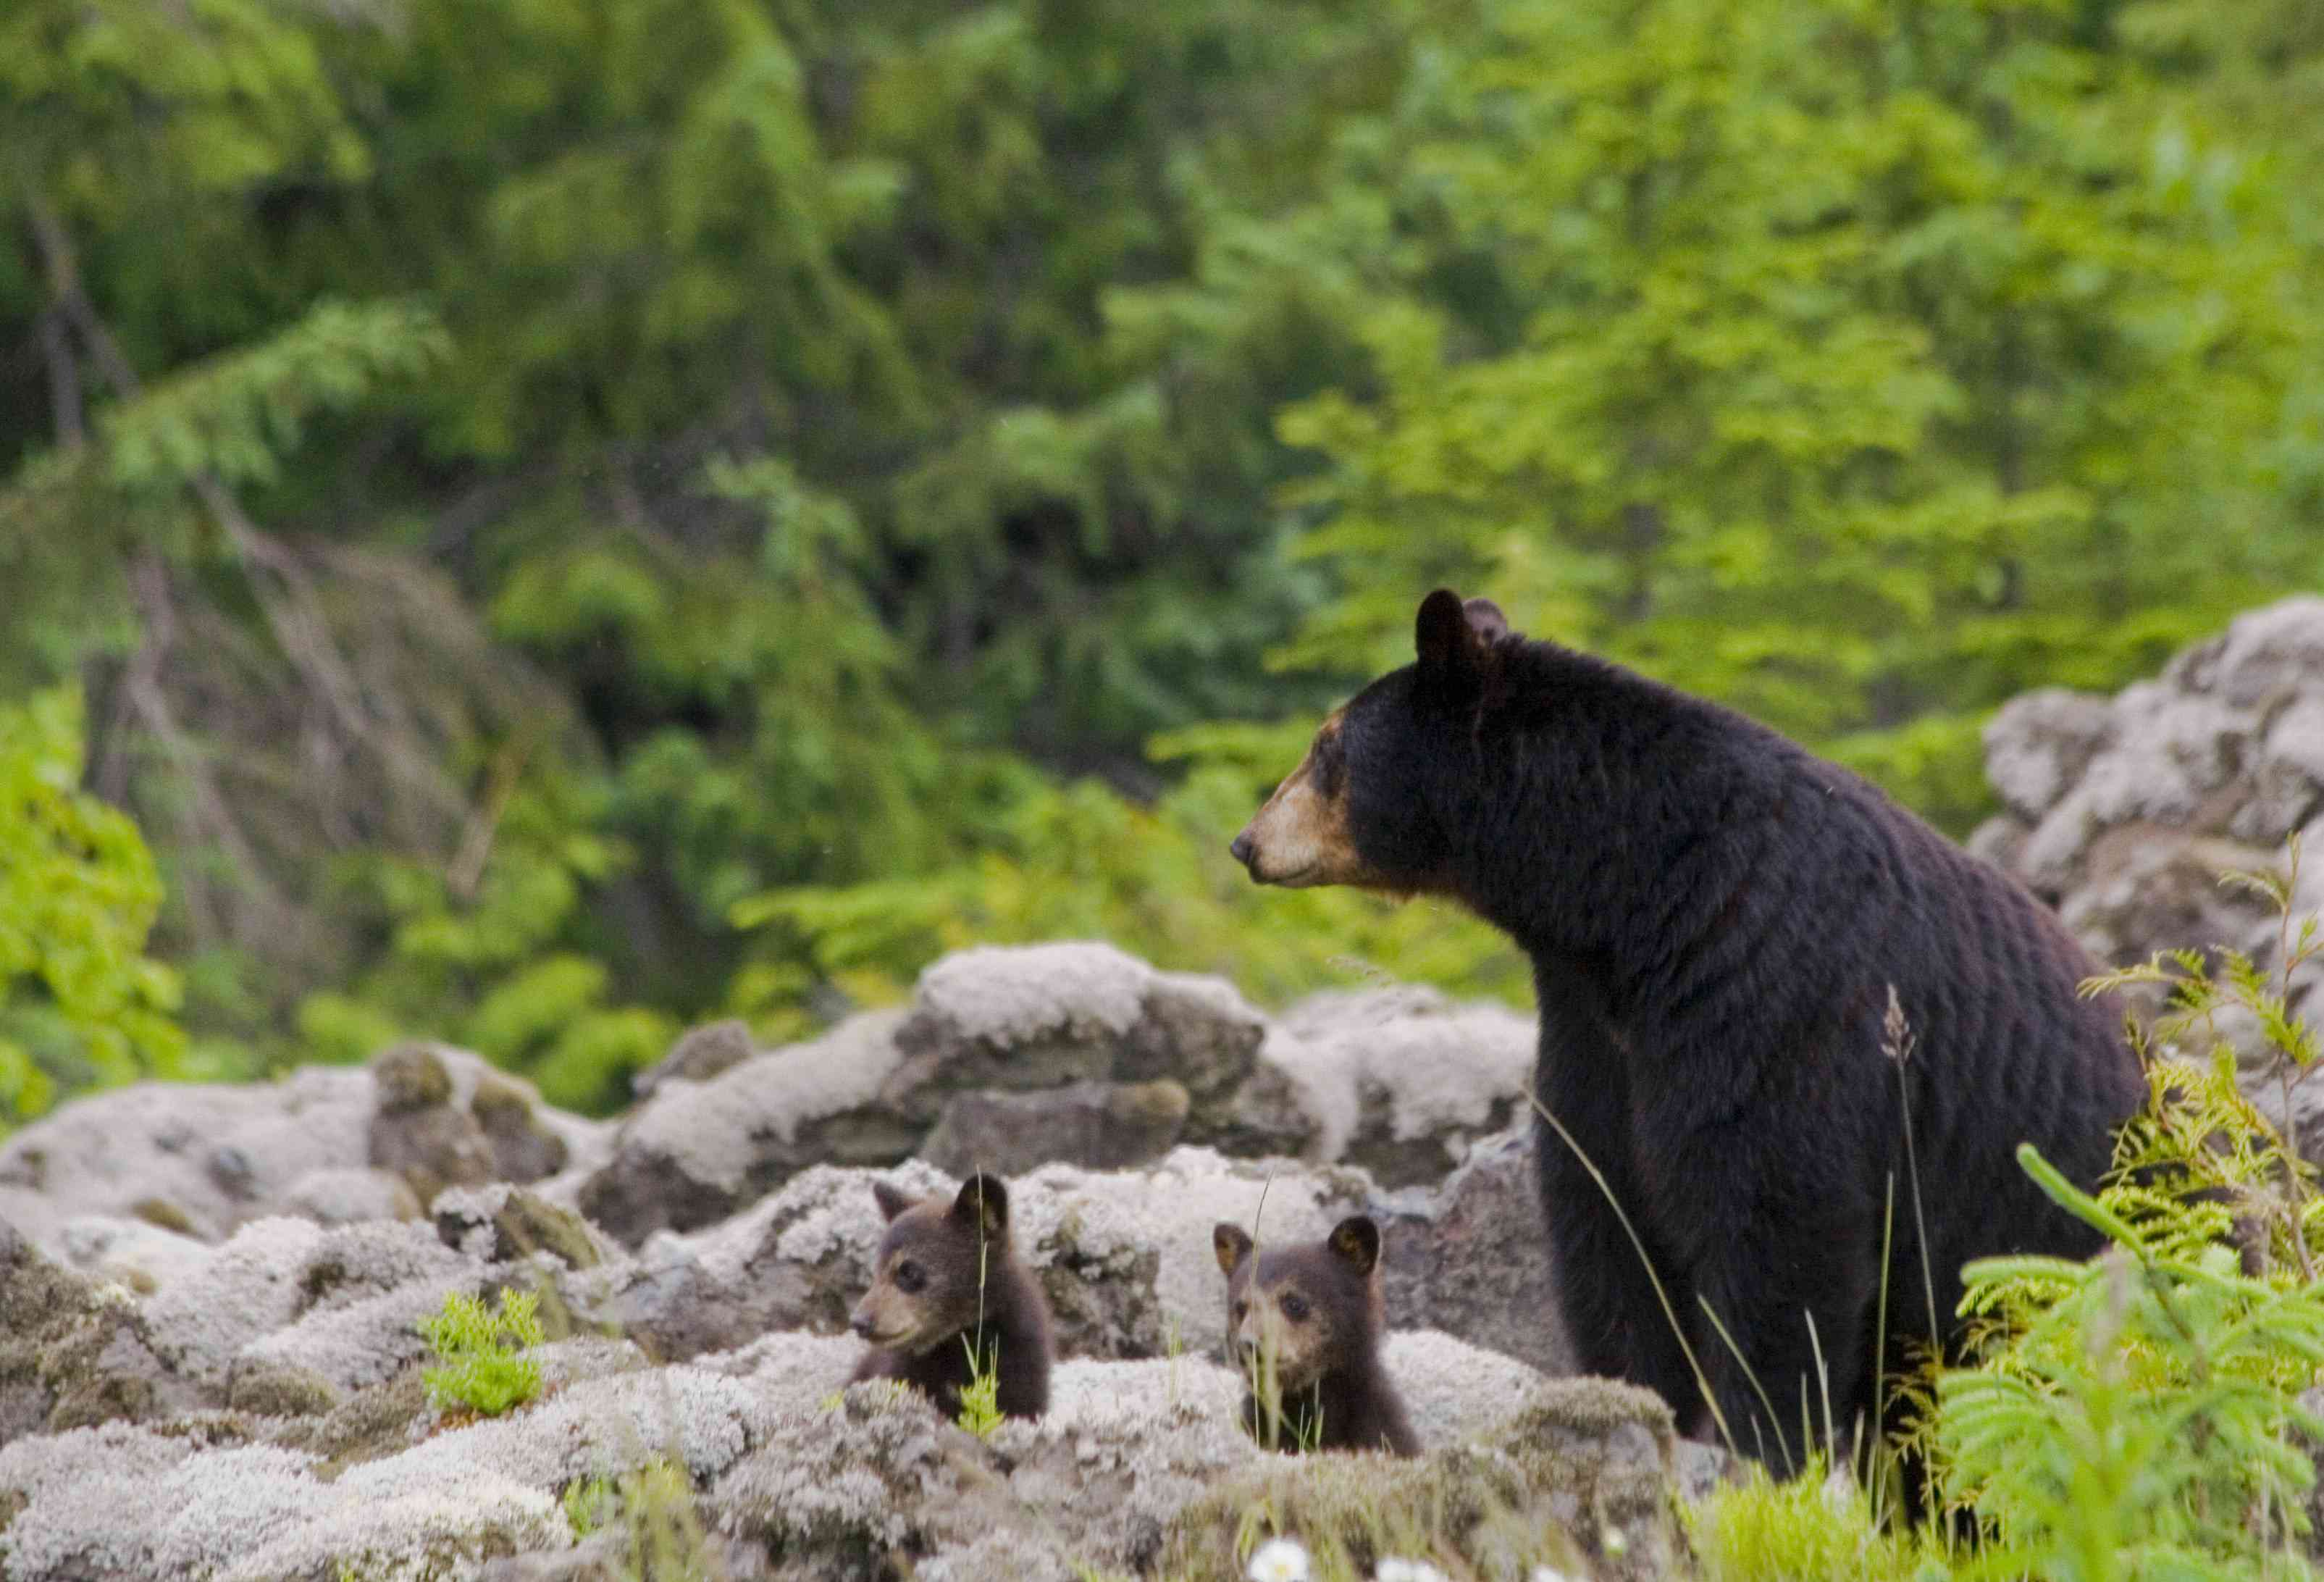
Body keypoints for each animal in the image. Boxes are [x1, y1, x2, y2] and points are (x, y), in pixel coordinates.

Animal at [1227, 585, 2147, 1477]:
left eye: (1326, 747)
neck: (1634, 900)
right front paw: (1631, 1405)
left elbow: (1775, 1223)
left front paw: (1758, 1444)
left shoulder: (1771, 999)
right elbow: (1607, 1218)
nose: (1247, 841)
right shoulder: (1594, 1033)